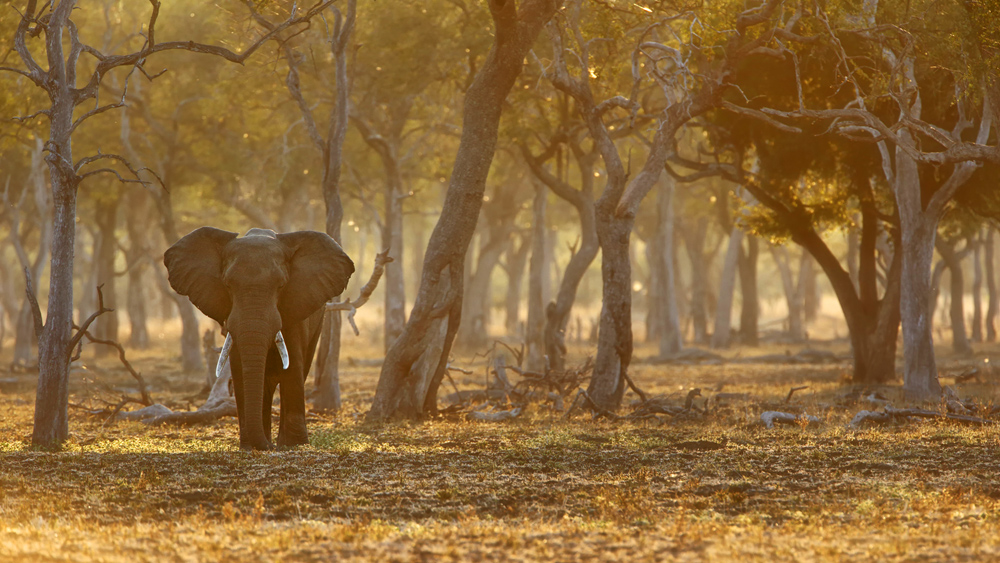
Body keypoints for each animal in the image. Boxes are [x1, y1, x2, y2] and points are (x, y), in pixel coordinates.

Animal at [163, 227, 352, 452]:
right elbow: (239, 369)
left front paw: (293, 445)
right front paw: (249, 446)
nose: (269, 447)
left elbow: (292, 368)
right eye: (228, 285)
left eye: (281, 286)